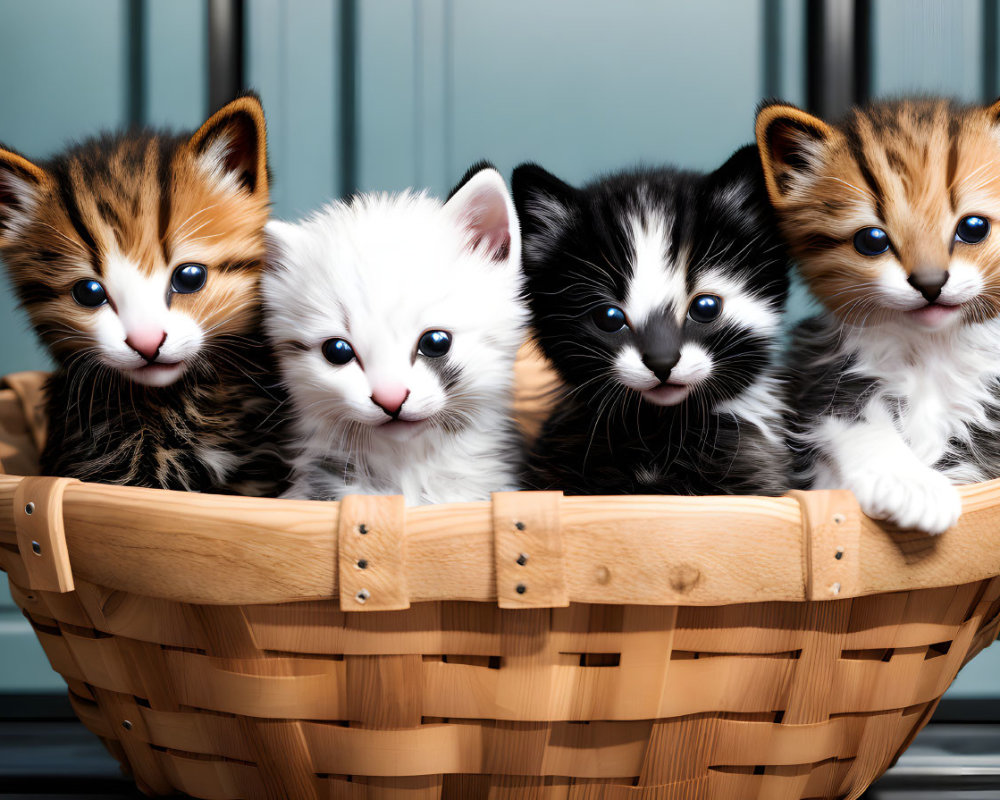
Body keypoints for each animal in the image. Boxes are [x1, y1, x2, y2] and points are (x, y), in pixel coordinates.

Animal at [752, 100, 1000, 536]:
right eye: (872, 240)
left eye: (973, 228)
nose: (930, 284)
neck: (930, 349)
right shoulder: (819, 374)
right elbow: (854, 417)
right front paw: (915, 486)